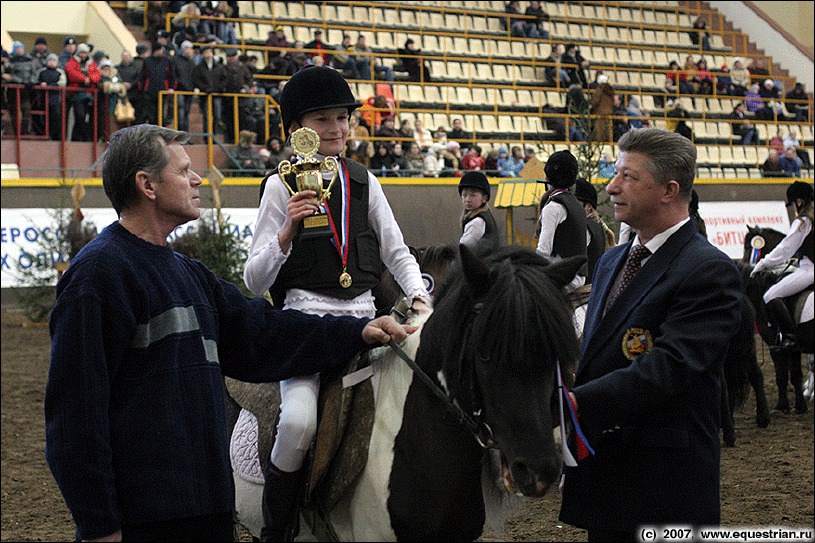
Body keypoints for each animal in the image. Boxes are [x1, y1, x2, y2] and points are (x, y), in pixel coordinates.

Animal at [744, 227, 812, 414]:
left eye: (748, 247)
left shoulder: (775, 345)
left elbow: (781, 374)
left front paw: (782, 405)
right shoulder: (794, 346)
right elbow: (795, 374)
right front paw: (800, 404)